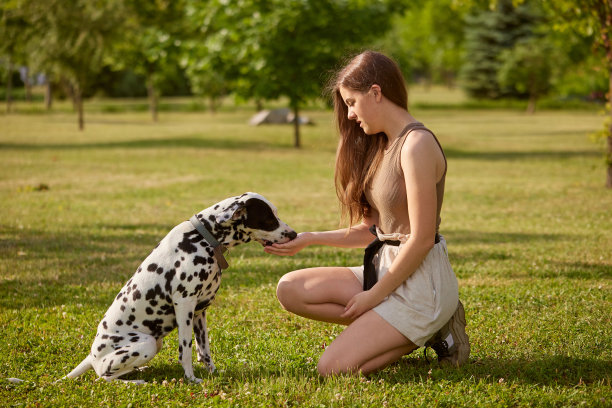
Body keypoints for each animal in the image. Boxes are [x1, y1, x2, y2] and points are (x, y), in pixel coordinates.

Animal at [63, 193, 298, 384]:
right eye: (269, 219)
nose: (294, 234)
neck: (202, 238)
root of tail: (92, 356)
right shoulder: (184, 305)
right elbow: (185, 350)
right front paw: (191, 379)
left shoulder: (200, 311)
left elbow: (204, 351)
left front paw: (213, 373)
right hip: (147, 344)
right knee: (103, 377)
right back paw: (137, 381)